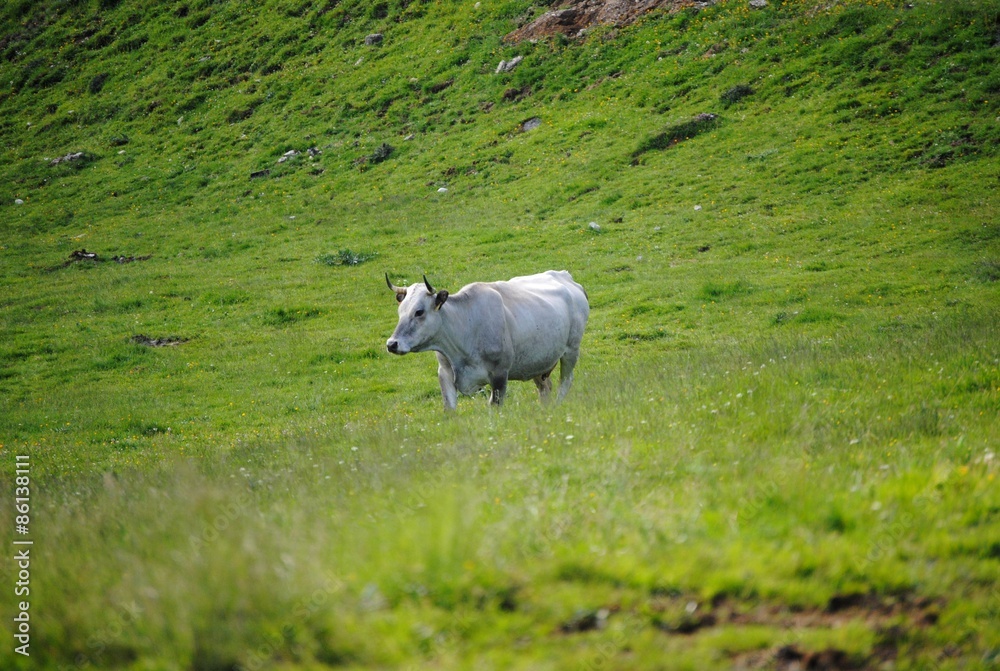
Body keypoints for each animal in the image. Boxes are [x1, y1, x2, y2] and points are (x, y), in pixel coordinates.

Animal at [385, 270, 589, 410]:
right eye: (400, 311)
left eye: (419, 312)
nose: (391, 344)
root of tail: (565, 276)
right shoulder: (444, 372)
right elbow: (449, 408)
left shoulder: (499, 374)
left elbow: (495, 406)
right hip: (538, 361)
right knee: (545, 387)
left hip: (571, 350)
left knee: (565, 382)